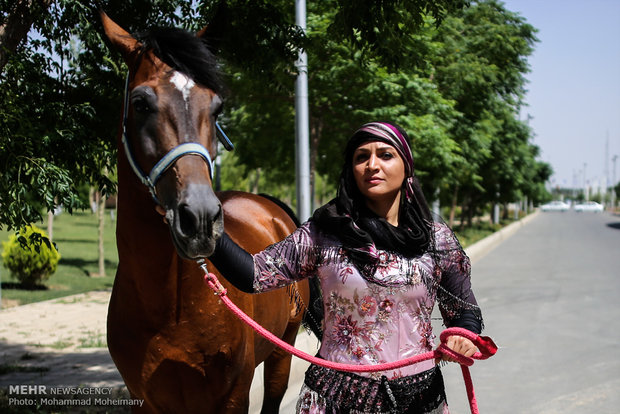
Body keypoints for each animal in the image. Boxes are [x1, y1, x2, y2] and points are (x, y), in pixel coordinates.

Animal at [100, 11, 310, 412]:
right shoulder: (143, 398)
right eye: (140, 103)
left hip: (282, 352)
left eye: (217, 107)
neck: (170, 312)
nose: (199, 219)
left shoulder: (233, 395)